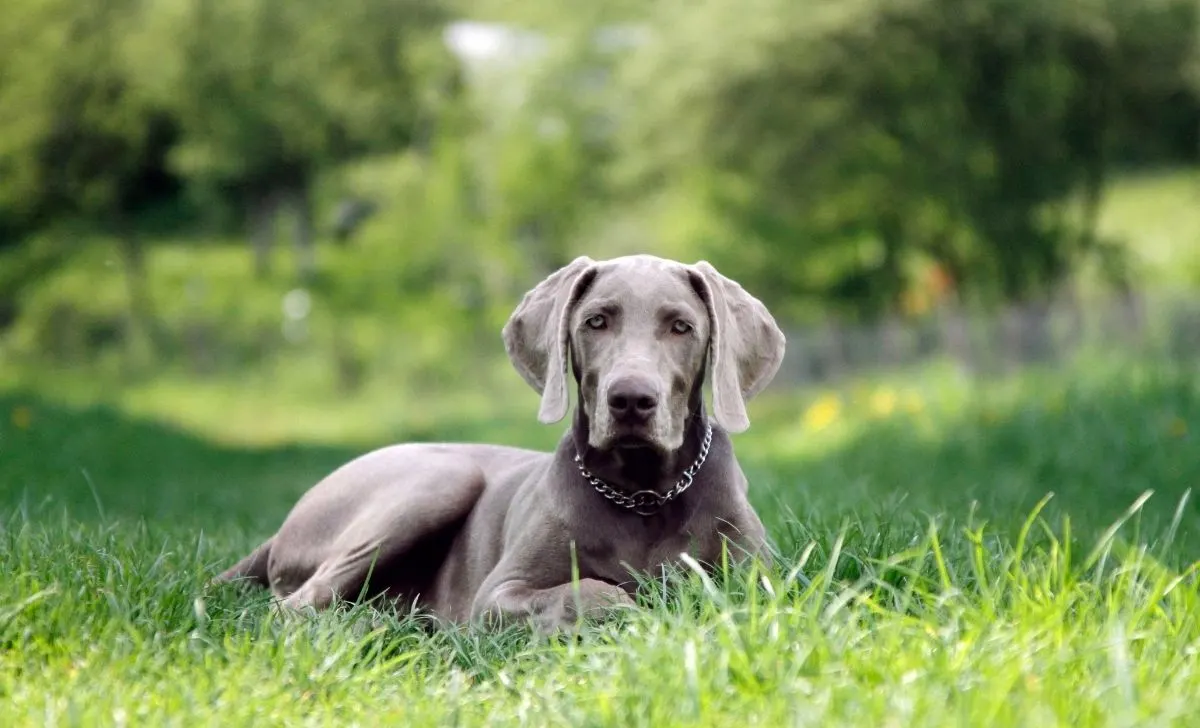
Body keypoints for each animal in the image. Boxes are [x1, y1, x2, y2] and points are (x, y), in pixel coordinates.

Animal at [216, 255, 787, 633]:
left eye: (681, 327)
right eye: (596, 321)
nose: (630, 400)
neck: (645, 495)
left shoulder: (761, 582)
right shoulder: (498, 595)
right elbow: (595, 592)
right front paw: (641, 612)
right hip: (440, 478)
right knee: (296, 606)